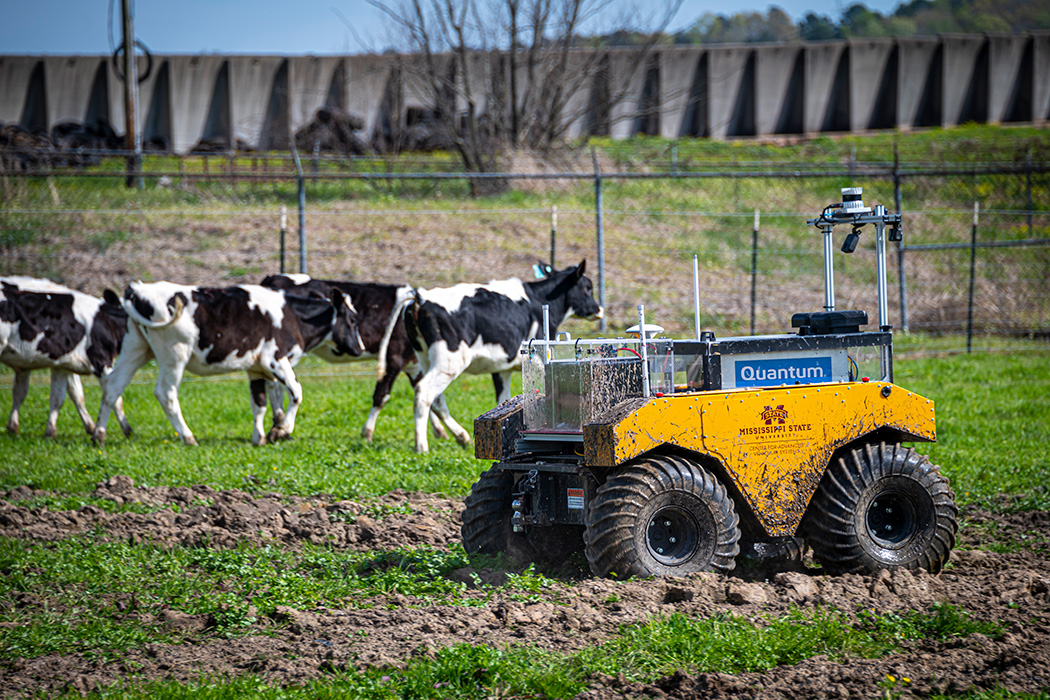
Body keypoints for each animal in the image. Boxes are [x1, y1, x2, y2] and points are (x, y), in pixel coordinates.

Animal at [0, 277, 131, 438]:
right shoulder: (101, 360)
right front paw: (127, 430)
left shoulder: (62, 364)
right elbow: (115, 397)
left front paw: (50, 432)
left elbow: (62, 396)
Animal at [94, 281, 365, 447]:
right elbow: (296, 392)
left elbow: (259, 404)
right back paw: (188, 437)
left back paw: (99, 434)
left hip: (136, 348)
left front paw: (260, 437)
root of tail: (138, 289)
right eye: (352, 320)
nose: (360, 348)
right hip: (174, 354)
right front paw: (282, 430)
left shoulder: (256, 368)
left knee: (112, 386)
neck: (293, 317)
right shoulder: (276, 360)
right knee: (166, 393)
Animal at [382, 260, 604, 451]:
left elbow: (503, 400)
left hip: (426, 358)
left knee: (435, 398)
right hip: (449, 362)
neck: (538, 298)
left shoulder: (501, 369)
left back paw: (461, 437)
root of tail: (420, 297)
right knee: (424, 392)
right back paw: (422, 447)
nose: (599, 309)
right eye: (588, 287)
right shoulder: (539, 360)